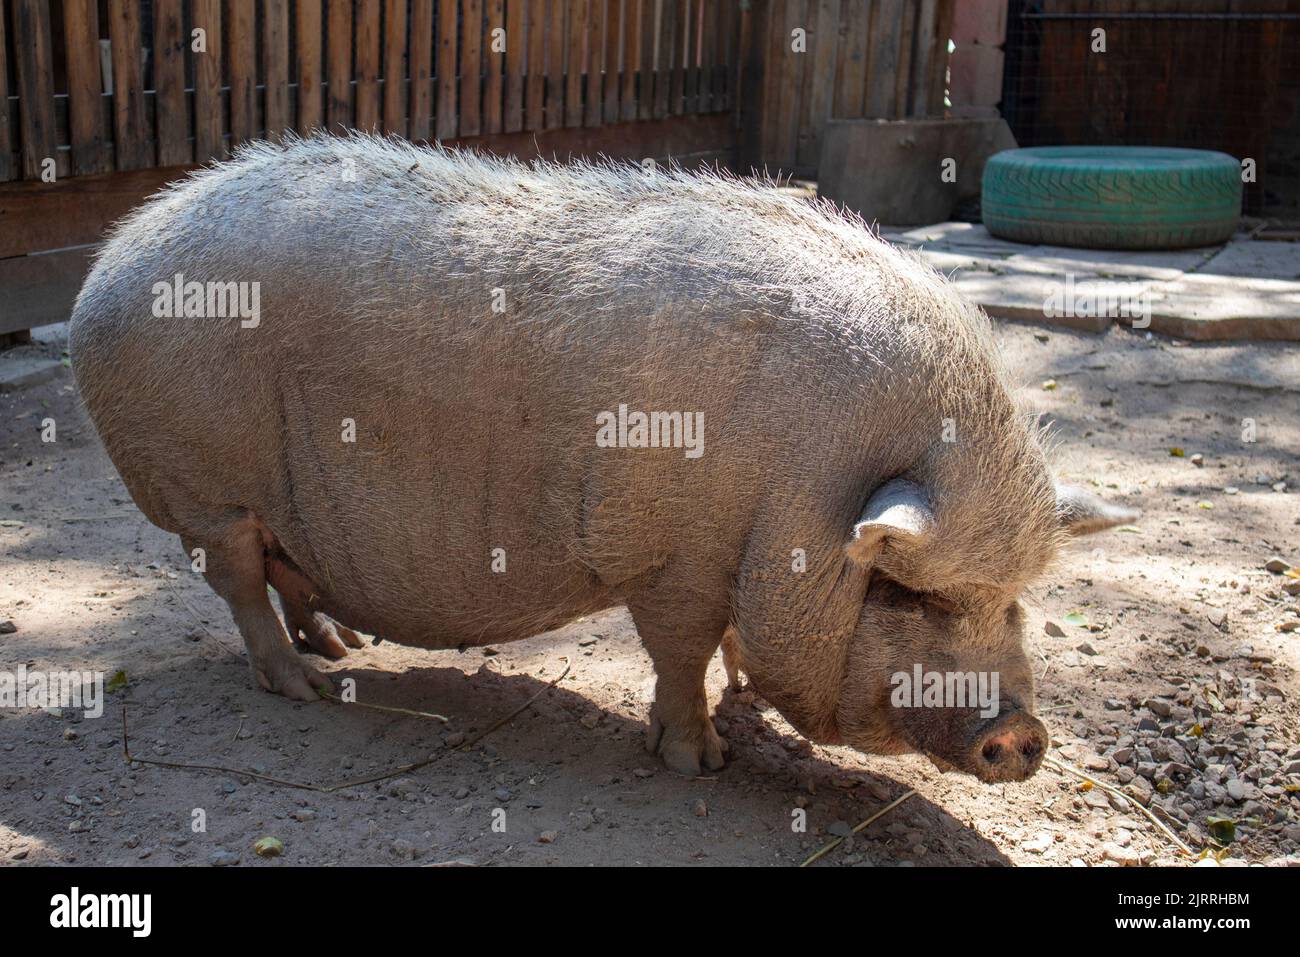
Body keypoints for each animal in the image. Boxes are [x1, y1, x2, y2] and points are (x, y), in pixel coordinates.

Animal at [70, 134, 1136, 782]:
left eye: (1013, 600)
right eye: (908, 595)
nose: (1022, 732)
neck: (803, 487)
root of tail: (106, 267)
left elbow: (728, 645)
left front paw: (742, 705)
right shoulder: (675, 559)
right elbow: (681, 651)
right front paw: (699, 762)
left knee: (289, 573)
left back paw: (345, 649)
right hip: (206, 491)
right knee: (240, 582)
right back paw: (310, 689)